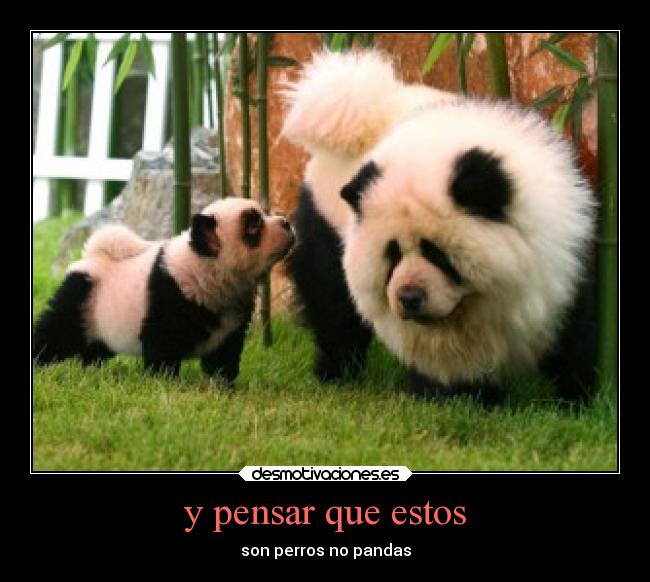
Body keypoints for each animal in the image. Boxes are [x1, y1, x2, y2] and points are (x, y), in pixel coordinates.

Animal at [33, 197, 295, 384]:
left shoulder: (232, 318)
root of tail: (93, 256)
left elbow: (224, 353)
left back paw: (92, 369)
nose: (286, 222)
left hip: (102, 317)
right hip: (82, 297)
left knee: (96, 347)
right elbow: (162, 345)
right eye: (253, 226)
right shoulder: (171, 295)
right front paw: (165, 382)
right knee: (55, 332)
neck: (206, 267)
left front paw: (223, 384)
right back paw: (39, 363)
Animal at [282, 50, 597, 403]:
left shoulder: (564, 255)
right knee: (331, 305)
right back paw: (336, 373)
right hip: (326, 219)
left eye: (437, 253)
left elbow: (575, 332)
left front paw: (576, 397)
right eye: (392, 254)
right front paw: (460, 397)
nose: (409, 297)